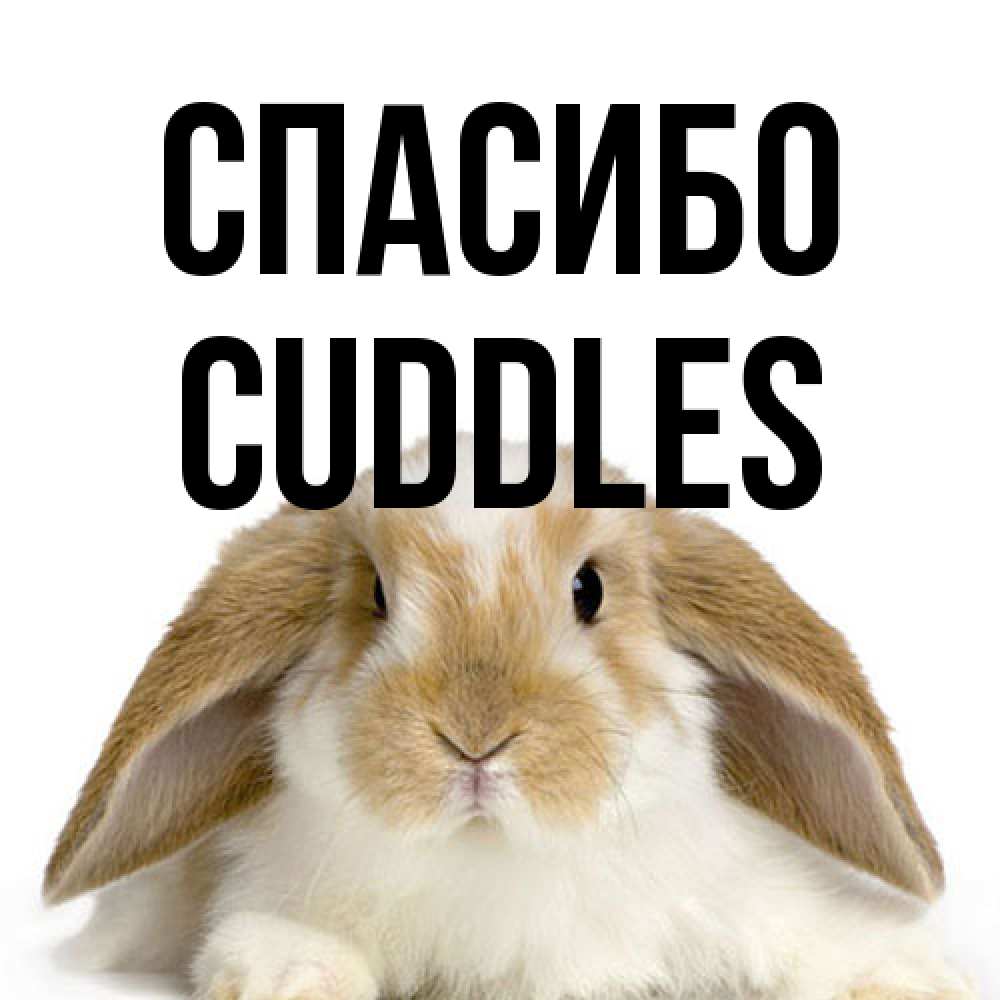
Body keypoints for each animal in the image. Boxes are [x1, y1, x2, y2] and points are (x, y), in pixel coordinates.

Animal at [45, 436, 975, 1000]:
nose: (475, 737)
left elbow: (816, 938)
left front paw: (909, 977)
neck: (495, 857)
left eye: (589, 589)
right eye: (375, 596)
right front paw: (291, 976)